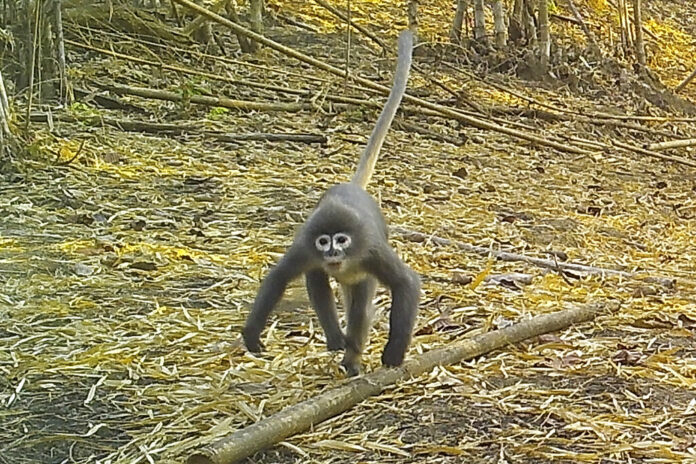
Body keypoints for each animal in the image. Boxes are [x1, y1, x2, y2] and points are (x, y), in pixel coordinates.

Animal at [245, 29, 418, 376]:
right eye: (324, 242)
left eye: (342, 240)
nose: (332, 253)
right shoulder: (305, 247)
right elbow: (278, 278)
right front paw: (252, 333)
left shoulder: (371, 250)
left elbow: (406, 283)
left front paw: (394, 353)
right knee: (318, 282)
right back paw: (338, 341)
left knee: (360, 310)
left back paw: (352, 358)